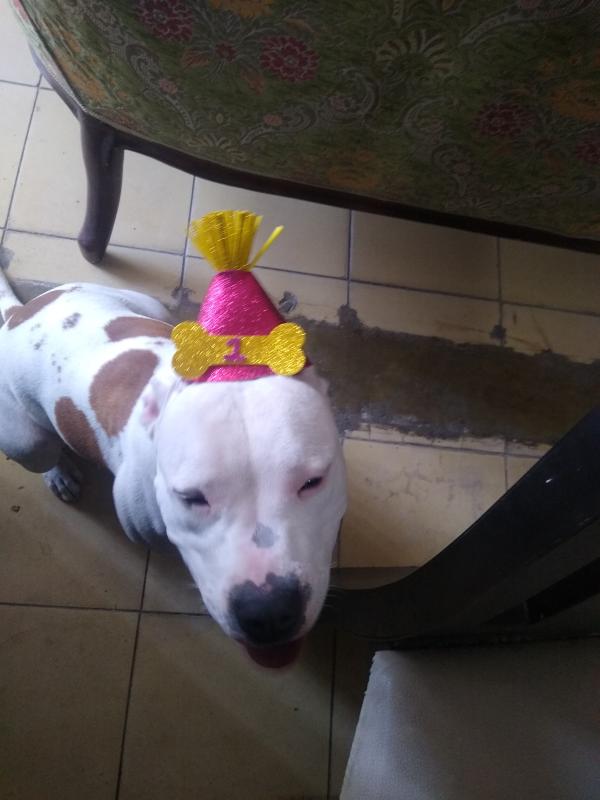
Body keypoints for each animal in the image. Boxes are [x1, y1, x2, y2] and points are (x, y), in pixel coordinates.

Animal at [0, 276, 347, 667]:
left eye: (313, 482)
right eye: (191, 498)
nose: (269, 612)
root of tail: (19, 314)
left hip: (149, 307)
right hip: (27, 441)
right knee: (43, 450)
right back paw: (59, 473)